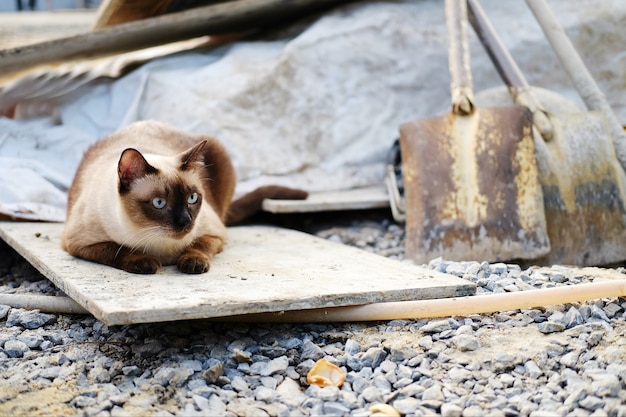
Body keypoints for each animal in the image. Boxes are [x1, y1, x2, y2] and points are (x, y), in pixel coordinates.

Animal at [62, 120, 306, 274]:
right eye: (159, 203)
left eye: (192, 198)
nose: (185, 221)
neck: (161, 246)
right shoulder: (78, 243)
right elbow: (117, 250)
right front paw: (145, 263)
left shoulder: (215, 233)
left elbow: (199, 245)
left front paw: (192, 263)